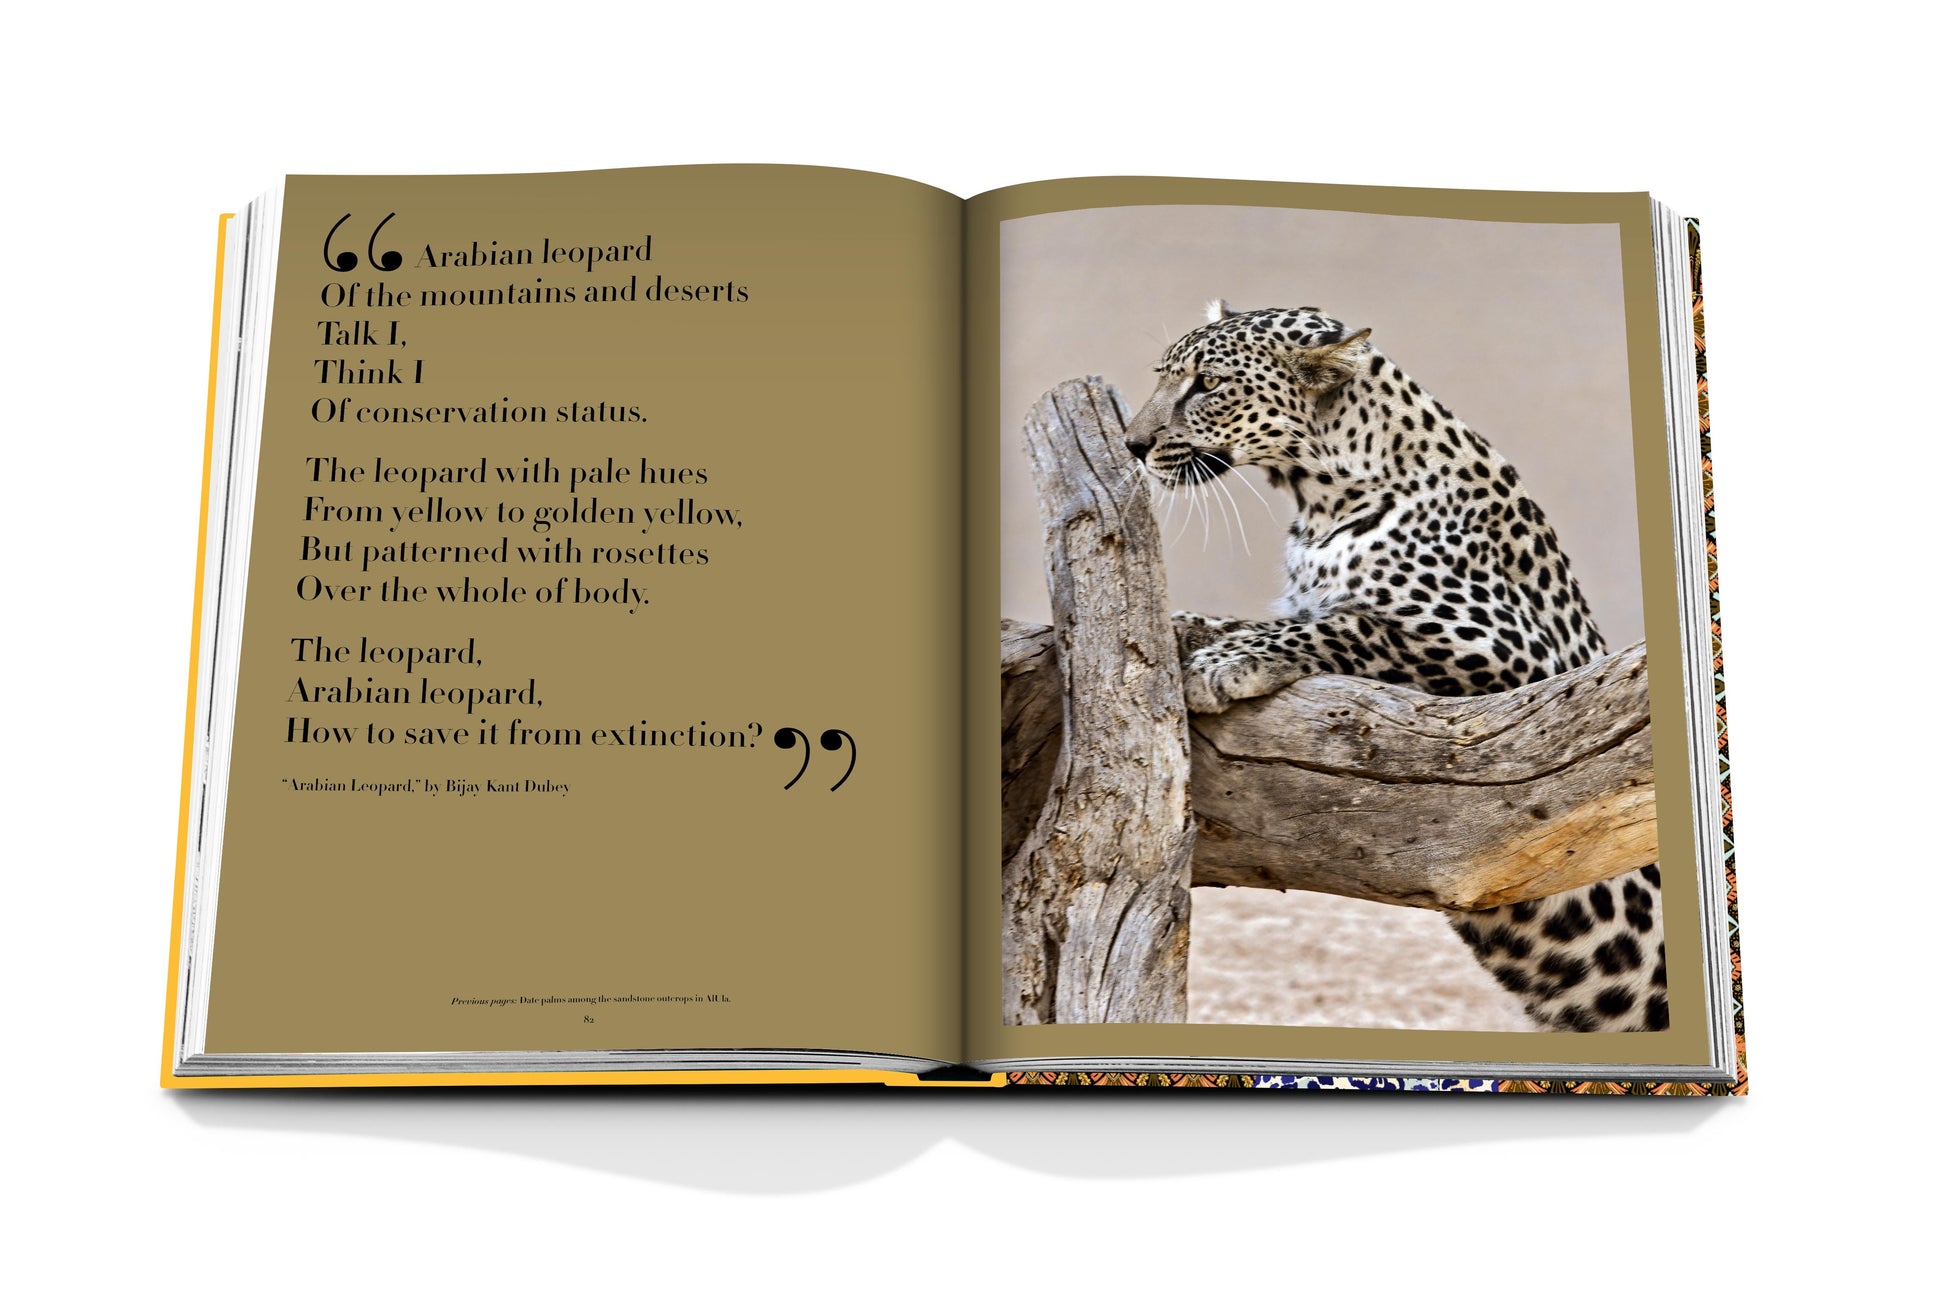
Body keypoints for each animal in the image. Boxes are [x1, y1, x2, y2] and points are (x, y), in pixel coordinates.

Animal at [1125, 300, 1666, 1033]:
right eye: (1164, 375)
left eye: (1207, 384)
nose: (1132, 444)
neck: (1321, 500)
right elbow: (1269, 614)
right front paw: (1188, 629)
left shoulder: (1522, 668)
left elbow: (1352, 624)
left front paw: (1229, 660)